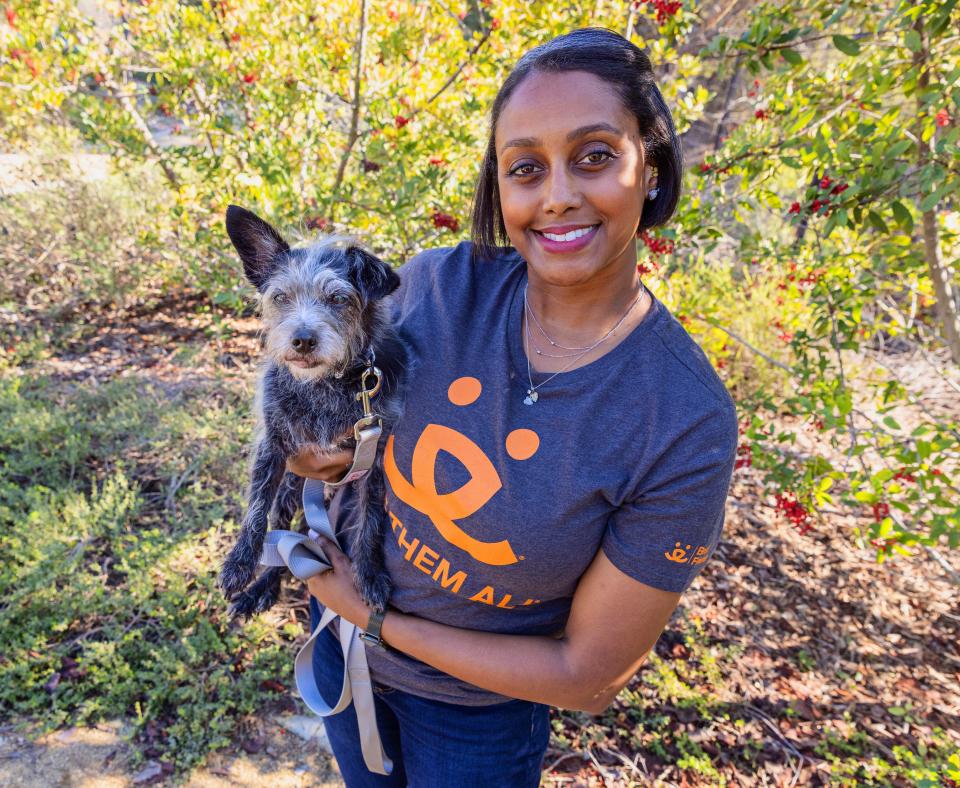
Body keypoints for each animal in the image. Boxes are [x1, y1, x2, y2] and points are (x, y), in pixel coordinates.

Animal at [218, 205, 408, 620]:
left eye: (338, 298)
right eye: (281, 297)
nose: (303, 340)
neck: (323, 385)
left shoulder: (373, 461)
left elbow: (370, 522)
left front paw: (370, 575)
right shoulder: (272, 447)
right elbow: (257, 510)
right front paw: (239, 564)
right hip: (292, 487)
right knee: (283, 534)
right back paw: (263, 587)